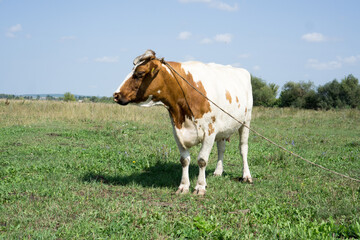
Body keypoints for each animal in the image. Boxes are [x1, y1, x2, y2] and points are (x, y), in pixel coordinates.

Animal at [113, 49, 253, 194]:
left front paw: (200, 187)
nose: (116, 95)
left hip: (246, 121)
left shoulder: (210, 131)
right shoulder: (177, 130)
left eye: (139, 73)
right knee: (221, 148)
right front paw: (184, 186)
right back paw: (218, 171)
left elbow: (202, 160)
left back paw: (246, 176)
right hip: (223, 129)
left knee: (243, 148)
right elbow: (184, 160)